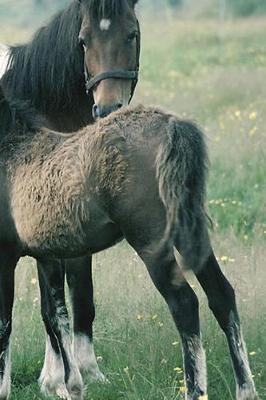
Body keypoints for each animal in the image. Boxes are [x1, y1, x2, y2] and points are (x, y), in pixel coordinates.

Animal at [0, 0, 140, 394]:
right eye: (83, 40)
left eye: (131, 34)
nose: (107, 110)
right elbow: (50, 308)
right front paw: (59, 382)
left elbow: (78, 298)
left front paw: (81, 374)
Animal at [0, 87, 258, 400]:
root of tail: (172, 125)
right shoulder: (48, 255)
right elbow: (57, 315)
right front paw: (71, 386)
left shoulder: (4, 256)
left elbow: (6, 323)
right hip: (190, 232)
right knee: (222, 295)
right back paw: (246, 389)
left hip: (149, 240)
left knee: (185, 304)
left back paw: (195, 390)